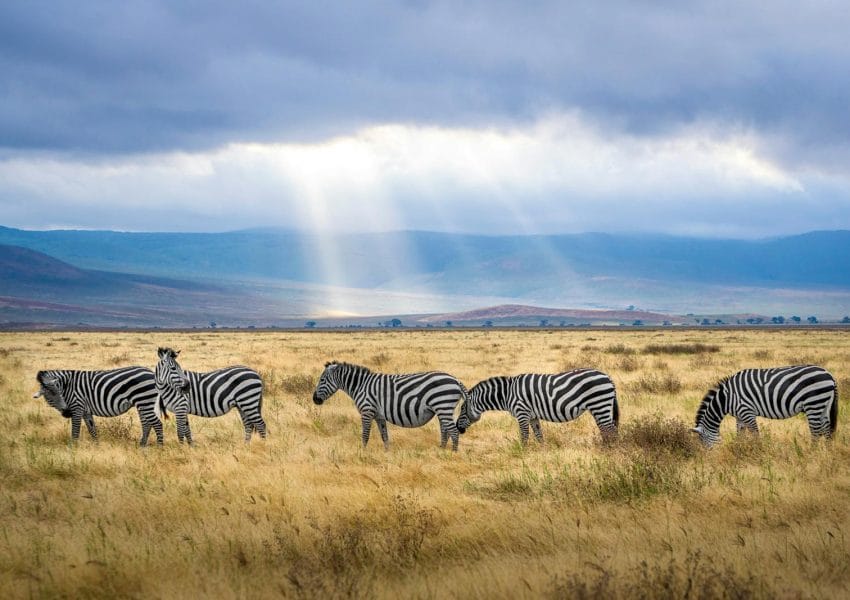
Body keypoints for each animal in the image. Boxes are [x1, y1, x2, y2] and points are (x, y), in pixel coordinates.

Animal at [32, 366, 164, 446]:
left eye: (59, 393)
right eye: (50, 396)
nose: (67, 412)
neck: (67, 386)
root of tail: (152, 373)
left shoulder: (77, 407)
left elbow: (75, 431)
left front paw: (72, 449)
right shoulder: (86, 411)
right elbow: (92, 430)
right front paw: (97, 446)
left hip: (145, 401)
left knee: (157, 424)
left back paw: (159, 447)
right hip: (142, 403)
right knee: (146, 424)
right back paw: (142, 445)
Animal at [312, 360, 468, 450]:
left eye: (322, 380)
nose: (315, 400)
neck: (361, 385)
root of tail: (455, 380)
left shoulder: (367, 411)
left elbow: (365, 434)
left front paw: (363, 452)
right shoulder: (379, 415)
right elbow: (384, 435)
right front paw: (387, 453)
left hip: (443, 405)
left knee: (453, 432)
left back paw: (452, 454)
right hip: (443, 409)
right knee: (445, 431)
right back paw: (441, 451)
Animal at [454, 368, 620, 442]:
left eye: (462, 409)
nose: (458, 428)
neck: (507, 394)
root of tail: (608, 377)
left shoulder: (522, 413)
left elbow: (524, 435)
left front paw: (523, 453)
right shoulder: (533, 416)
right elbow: (539, 435)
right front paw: (542, 452)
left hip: (599, 404)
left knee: (611, 430)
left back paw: (610, 452)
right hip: (600, 407)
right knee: (606, 430)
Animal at [692, 366, 840, 446]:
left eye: (703, 441)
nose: (707, 458)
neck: (727, 398)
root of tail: (830, 375)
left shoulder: (747, 412)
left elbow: (756, 435)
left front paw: (759, 452)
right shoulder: (739, 416)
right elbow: (740, 435)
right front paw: (739, 449)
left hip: (813, 403)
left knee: (816, 432)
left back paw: (811, 454)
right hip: (824, 405)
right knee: (827, 430)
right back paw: (827, 454)